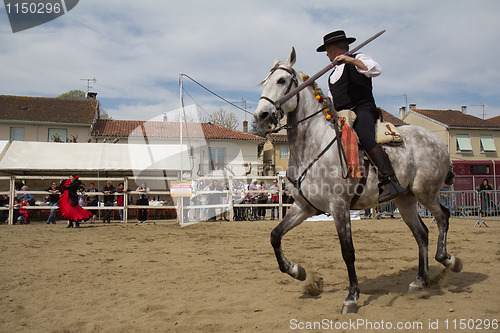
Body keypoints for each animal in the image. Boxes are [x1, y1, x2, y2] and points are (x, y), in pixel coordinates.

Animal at [256, 48, 462, 312]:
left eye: (281, 81)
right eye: (265, 81)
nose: (261, 115)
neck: (313, 145)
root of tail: (437, 142)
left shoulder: (339, 206)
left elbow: (348, 252)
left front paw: (352, 296)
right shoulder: (304, 207)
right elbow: (275, 235)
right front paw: (298, 271)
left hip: (425, 191)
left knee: (443, 216)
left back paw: (449, 260)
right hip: (405, 199)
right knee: (422, 233)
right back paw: (420, 280)